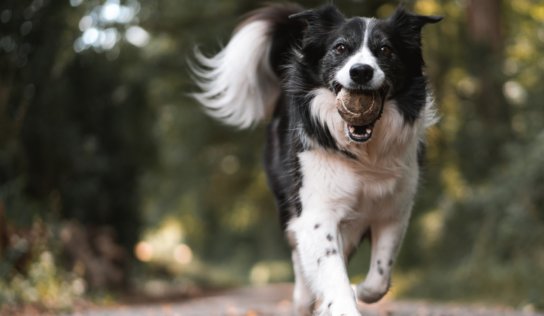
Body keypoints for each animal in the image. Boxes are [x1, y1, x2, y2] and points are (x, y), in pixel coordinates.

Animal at [191, 3, 442, 314]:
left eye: (385, 50)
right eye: (341, 47)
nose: (361, 72)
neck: (363, 152)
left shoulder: (394, 210)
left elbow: (379, 279)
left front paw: (358, 290)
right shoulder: (316, 211)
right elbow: (330, 272)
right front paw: (342, 303)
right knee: (301, 265)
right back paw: (302, 301)